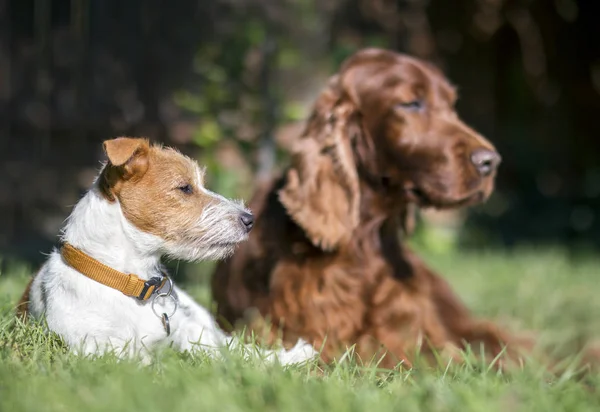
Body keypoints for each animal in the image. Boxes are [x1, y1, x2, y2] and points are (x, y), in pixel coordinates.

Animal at [16, 138, 316, 364]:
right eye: (185, 188)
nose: (250, 219)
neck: (128, 281)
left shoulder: (188, 333)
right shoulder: (95, 347)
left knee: (237, 347)